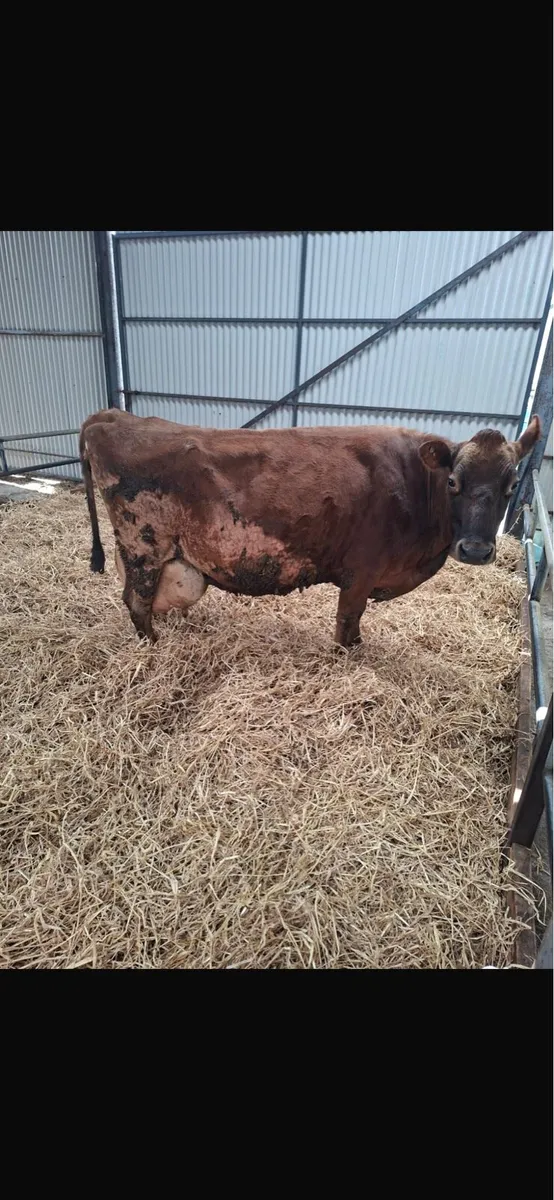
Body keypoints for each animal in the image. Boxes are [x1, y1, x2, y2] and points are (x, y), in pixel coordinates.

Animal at [79, 409, 540, 647]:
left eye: (512, 485)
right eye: (453, 482)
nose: (476, 550)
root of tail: (114, 416)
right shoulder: (361, 573)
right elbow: (347, 621)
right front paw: (350, 653)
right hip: (143, 547)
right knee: (136, 602)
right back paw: (153, 647)